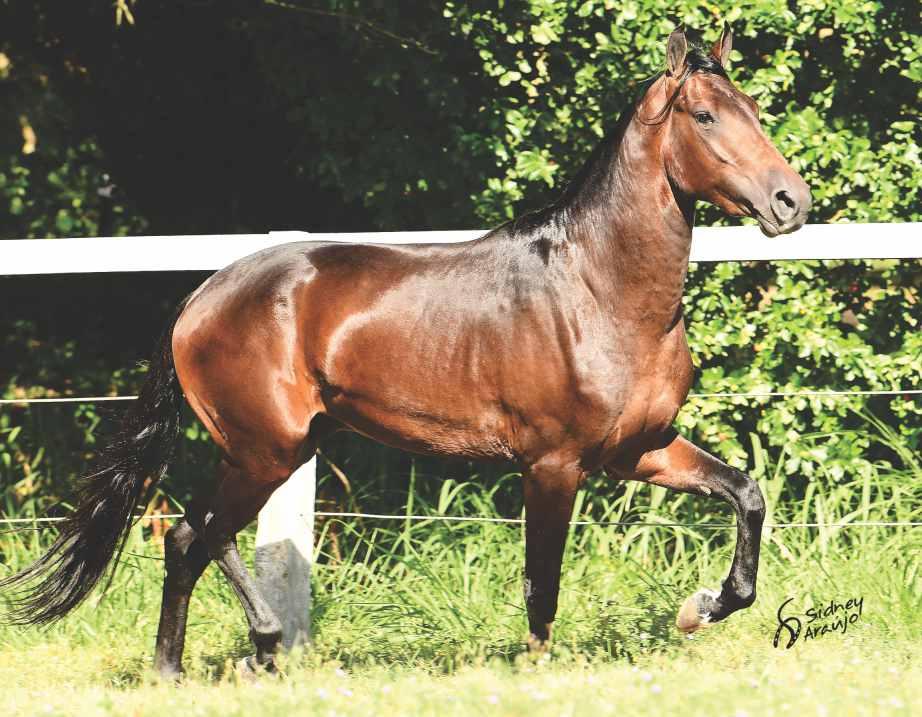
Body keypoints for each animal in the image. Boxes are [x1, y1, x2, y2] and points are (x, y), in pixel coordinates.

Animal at [1, 25, 804, 676]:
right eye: (705, 115)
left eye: (754, 110)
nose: (790, 201)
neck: (598, 291)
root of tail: (200, 298)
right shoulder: (552, 464)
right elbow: (541, 584)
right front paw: (538, 673)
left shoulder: (639, 448)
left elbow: (746, 493)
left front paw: (703, 606)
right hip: (264, 449)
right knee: (200, 533)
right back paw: (247, 649)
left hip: (276, 449)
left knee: (186, 538)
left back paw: (188, 666)